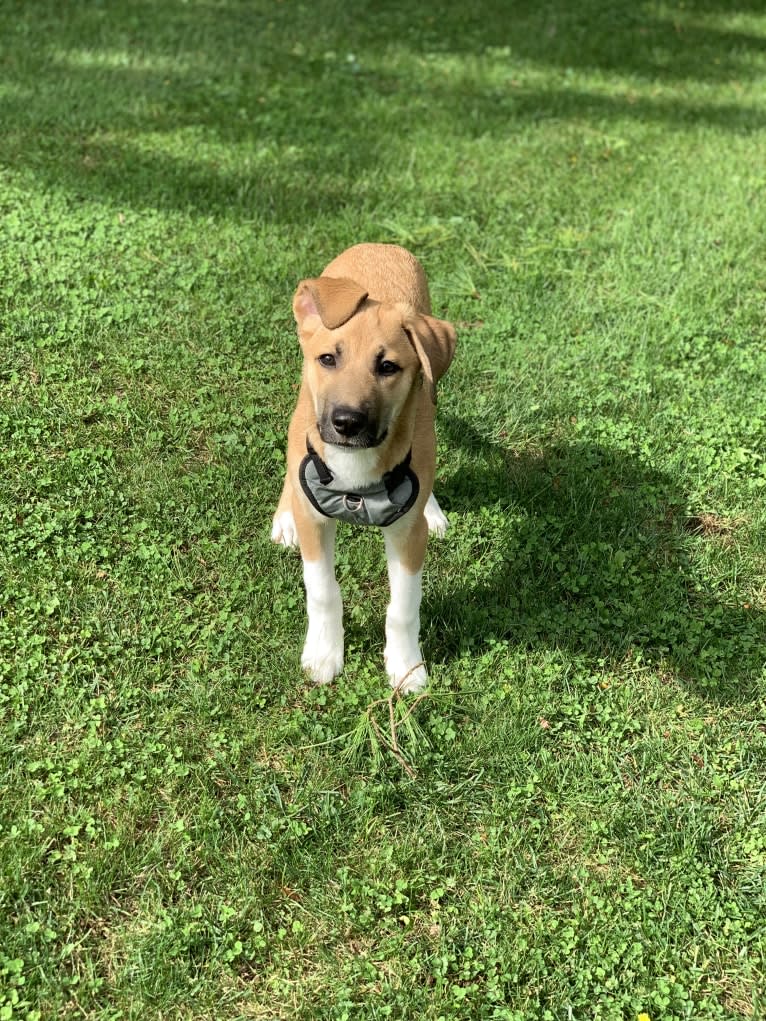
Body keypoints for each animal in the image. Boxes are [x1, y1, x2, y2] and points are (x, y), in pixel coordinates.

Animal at [273, 244, 459, 694]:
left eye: (388, 367)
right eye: (328, 359)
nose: (346, 422)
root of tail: (379, 245)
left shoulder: (407, 536)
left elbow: (404, 606)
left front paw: (407, 667)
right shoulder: (316, 523)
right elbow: (322, 591)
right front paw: (324, 654)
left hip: (430, 397)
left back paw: (432, 508)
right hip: (302, 409)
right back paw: (284, 517)